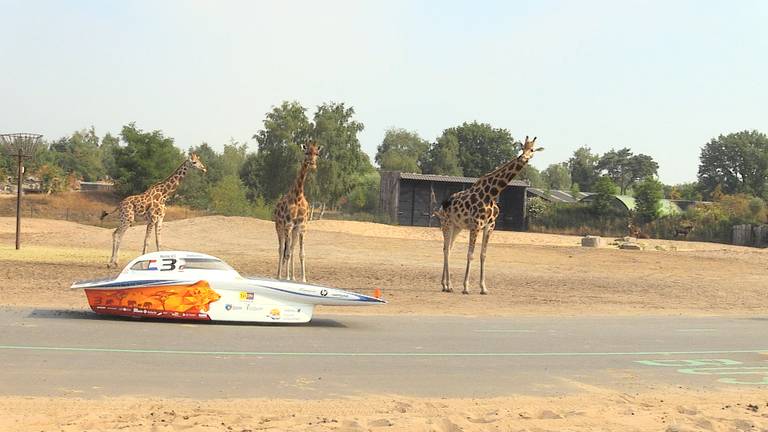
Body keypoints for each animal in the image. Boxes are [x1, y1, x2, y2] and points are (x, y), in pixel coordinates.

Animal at [274, 143, 320, 284]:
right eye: (306, 152)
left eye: (317, 153)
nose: (312, 164)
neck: (298, 197)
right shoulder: (288, 225)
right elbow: (286, 252)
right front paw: (286, 277)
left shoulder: (301, 227)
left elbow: (301, 253)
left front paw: (303, 279)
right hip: (279, 227)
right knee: (281, 249)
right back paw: (279, 276)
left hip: (294, 230)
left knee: (291, 249)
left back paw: (293, 277)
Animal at [436, 137, 544, 296]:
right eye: (522, 148)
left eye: (532, 150)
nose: (523, 157)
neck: (492, 193)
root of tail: (442, 205)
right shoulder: (476, 225)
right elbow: (470, 254)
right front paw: (466, 287)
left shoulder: (489, 226)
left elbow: (483, 254)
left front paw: (483, 288)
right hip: (446, 224)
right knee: (445, 250)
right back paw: (447, 285)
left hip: (457, 227)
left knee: (448, 249)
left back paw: (446, 285)